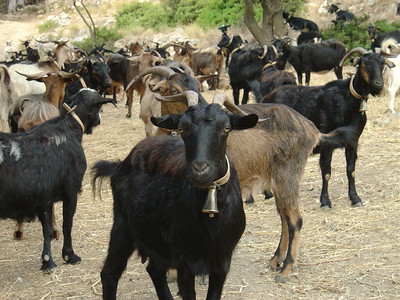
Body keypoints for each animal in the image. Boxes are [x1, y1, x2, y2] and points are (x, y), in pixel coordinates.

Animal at [262, 47, 394, 209]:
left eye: (382, 64)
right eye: (364, 64)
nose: (378, 84)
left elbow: (351, 170)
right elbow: (326, 172)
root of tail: (266, 98)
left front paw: (355, 198)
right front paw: (325, 201)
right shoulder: (327, 143)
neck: (347, 101)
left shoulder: (353, 142)